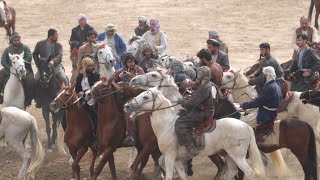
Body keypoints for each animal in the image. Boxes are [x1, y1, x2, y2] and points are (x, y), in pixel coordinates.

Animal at [124, 87, 266, 180]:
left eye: (145, 97)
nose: (126, 106)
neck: (167, 126)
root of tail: (245, 125)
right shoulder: (177, 160)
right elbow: (181, 176)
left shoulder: (170, 156)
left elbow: (169, 176)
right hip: (228, 155)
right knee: (231, 172)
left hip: (238, 157)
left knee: (250, 173)